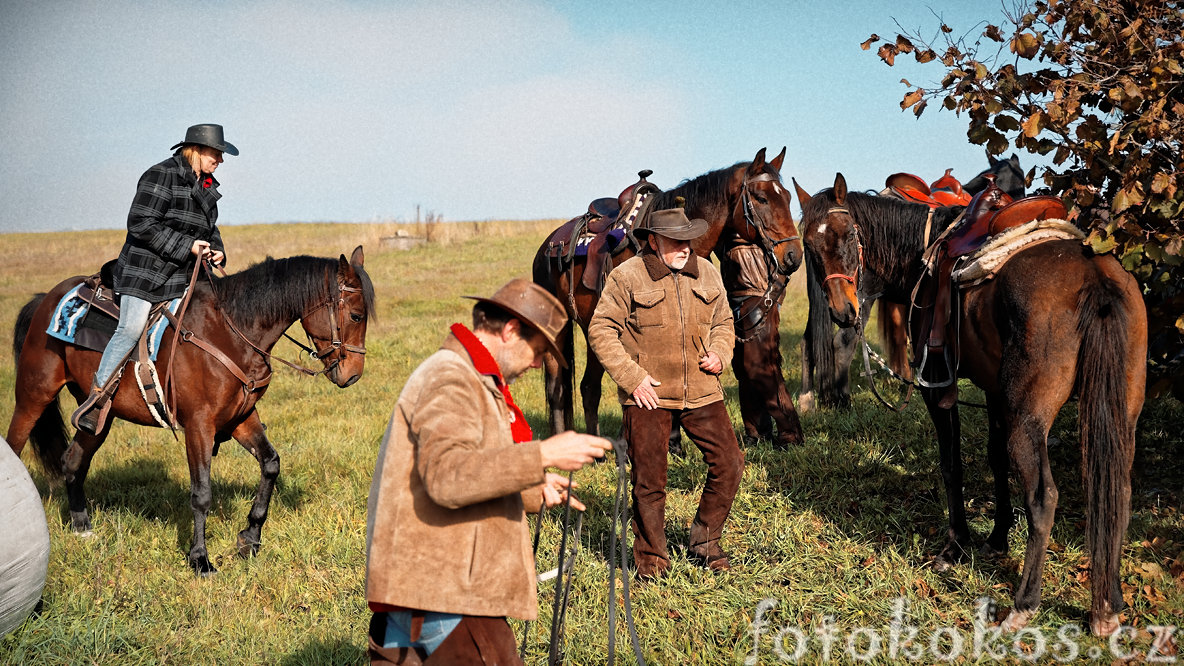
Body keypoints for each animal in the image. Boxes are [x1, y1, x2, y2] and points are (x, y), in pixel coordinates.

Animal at [5, 246, 374, 573]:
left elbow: (270, 465)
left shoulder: (241, 418)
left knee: (73, 460)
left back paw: (82, 527)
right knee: (16, 447)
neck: (230, 332)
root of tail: (45, 298)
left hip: (99, 417)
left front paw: (249, 539)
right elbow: (201, 494)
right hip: (33, 395)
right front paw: (200, 559)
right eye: (356, 315)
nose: (354, 375)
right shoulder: (199, 425)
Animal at [535, 147, 805, 443]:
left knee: (587, 387)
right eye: (761, 198)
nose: (793, 255)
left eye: (788, 197)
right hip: (561, 329)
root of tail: (548, 244)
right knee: (559, 387)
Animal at [795, 174, 1146, 635]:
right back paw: (1107, 604)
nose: (842, 311)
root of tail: (1096, 280)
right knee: (1118, 493)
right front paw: (997, 537)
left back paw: (1024, 602)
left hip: (1029, 419)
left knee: (1043, 498)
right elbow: (995, 460)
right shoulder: (996, 394)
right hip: (1119, 416)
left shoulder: (938, 387)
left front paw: (956, 546)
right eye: (809, 246)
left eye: (850, 236)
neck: (921, 258)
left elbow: (952, 465)